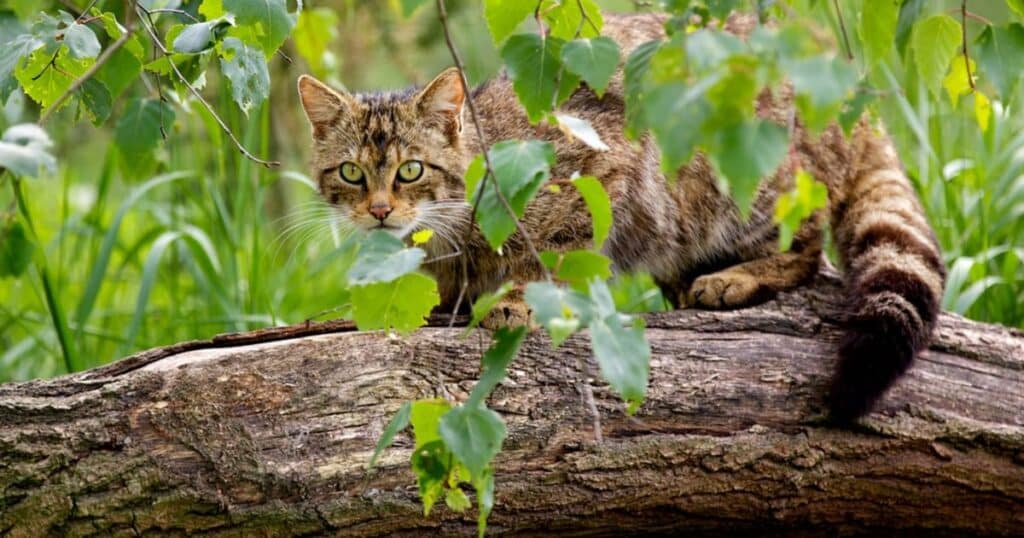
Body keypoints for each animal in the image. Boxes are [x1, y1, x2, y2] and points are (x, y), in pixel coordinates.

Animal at [294, 13, 942, 420]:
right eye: (351, 173)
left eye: (410, 171)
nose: (381, 211)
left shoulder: (604, 172)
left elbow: (549, 253)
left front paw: (516, 297)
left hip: (743, 182)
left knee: (808, 249)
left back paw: (734, 276)